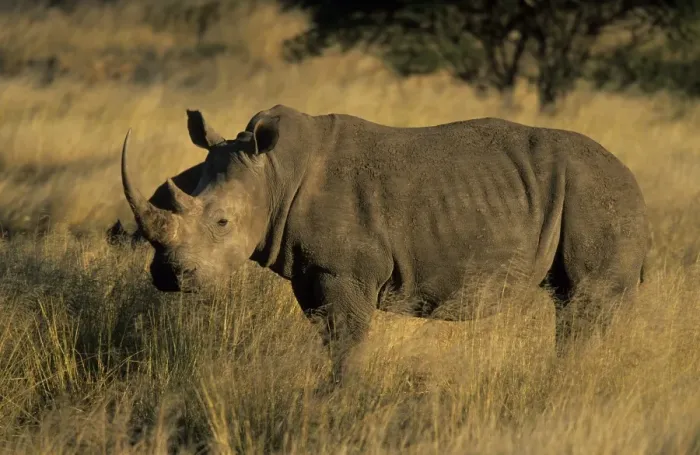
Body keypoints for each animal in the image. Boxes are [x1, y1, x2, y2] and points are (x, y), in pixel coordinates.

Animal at [118, 105, 651, 378]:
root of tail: (632, 178)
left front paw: (337, 403)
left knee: (584, 306)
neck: (274, 174)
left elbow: (346, 345)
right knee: (573, 304)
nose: (168, 276)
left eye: (223, 223)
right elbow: (330, 338)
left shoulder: (345, 272)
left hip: (597, 196)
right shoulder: (313, 271)